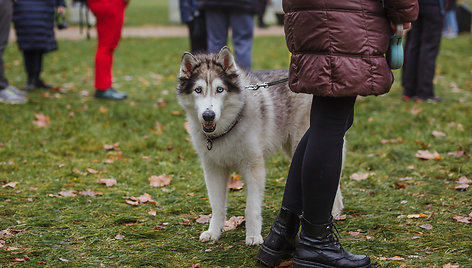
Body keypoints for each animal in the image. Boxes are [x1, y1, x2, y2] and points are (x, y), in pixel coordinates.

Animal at [177, 46, 342, 245]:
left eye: (220, 89)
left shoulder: (254, 167)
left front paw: (254, 235)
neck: (227, 130)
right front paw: (214, 232)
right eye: (198, 90)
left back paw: (334, 211)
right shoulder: (213, 169)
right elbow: (216, 205)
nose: (208, 115)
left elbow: (251, 207)